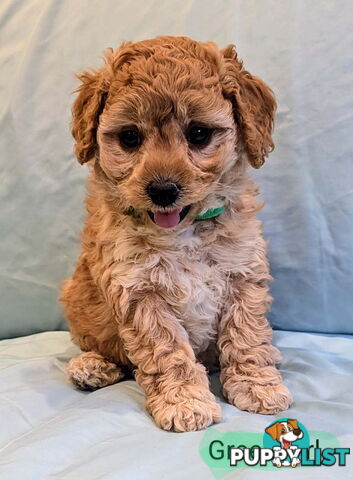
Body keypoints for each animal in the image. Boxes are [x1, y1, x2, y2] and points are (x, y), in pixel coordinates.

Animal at [61, 35, 292, 434]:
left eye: (198, 133)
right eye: (129, 137)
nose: (163, 189)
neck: (185, 231)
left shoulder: (243, 274)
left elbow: (246, 335)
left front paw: (257, 385)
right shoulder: (138, 292)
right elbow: (167, 351)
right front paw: (184, 401)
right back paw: (91, 367)